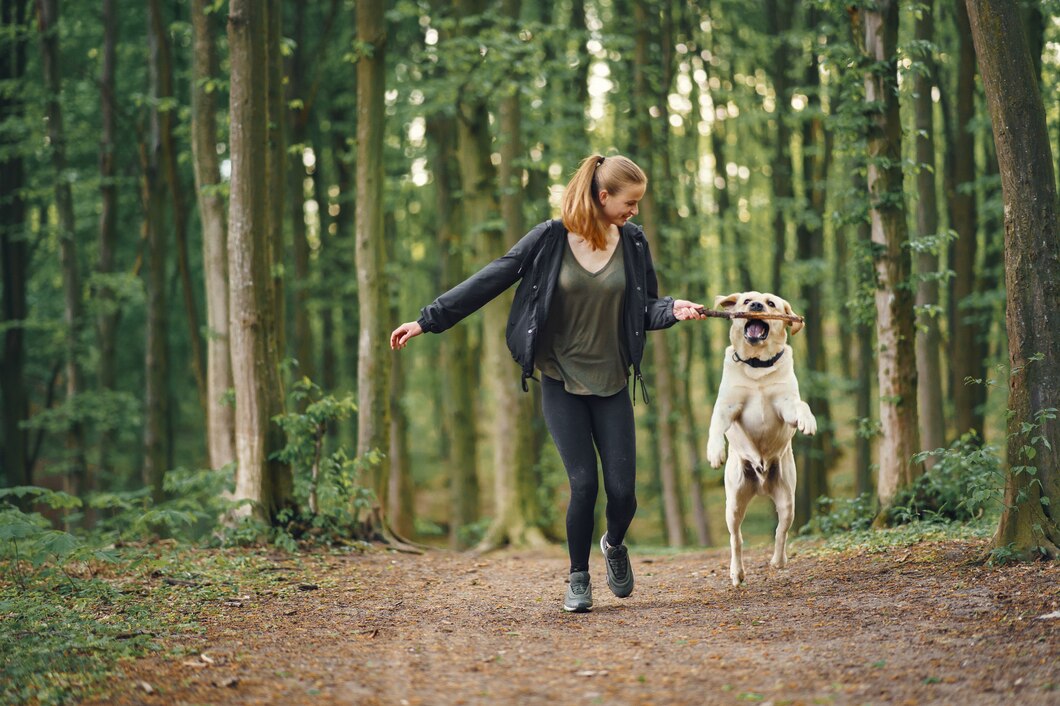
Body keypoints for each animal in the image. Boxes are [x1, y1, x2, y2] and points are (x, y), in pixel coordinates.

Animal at [708, 290, 814, 580]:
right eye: (746, 301)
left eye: (771, 304)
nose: (755, 306)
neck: (757, 366)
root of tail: (762, 484)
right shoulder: (727, 406)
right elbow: (715, 425)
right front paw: (715, 452)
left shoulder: (785, 405)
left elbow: (802, 405)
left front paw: (808, 421)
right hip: (733, 503)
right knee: (736, 538)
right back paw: (737, 573)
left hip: (788, 499)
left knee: (781, 530)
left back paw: (778, 561)